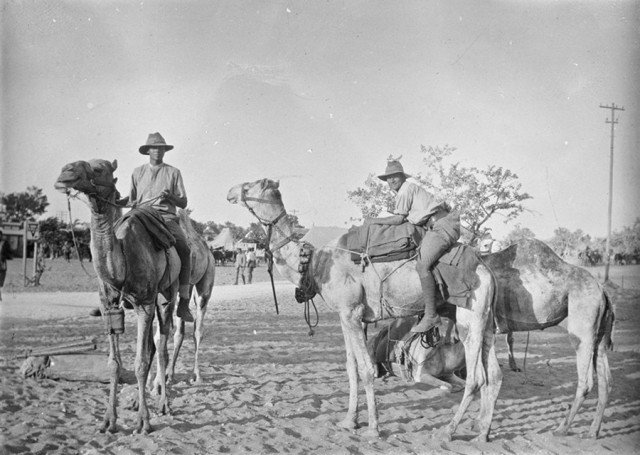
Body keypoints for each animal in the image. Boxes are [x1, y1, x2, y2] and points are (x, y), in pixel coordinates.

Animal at [55, 160, 212, 434]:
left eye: (100, 169)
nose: (66, 172)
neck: (122, 263)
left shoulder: (145, 304)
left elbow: (141, 361)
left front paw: (143, 422)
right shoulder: (109, 307)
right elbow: (114, 364)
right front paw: (109, 420)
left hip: (179, 293)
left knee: (176, 337)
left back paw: (170, 398)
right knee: (160, 342)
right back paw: (146, 396)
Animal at [228, 178, 502, 442]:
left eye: (250, 185)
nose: (230, 192)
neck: (314, 264)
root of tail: (486, 270)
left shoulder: (351, 312)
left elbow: (367, 370)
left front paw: (373, 429)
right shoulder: (349, 316)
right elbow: (352, 368)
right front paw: (349, 421)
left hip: (470, 316)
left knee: (476, 377)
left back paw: (448, 431)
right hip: (485, 320)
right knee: (494, 374)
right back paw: (482, 432)